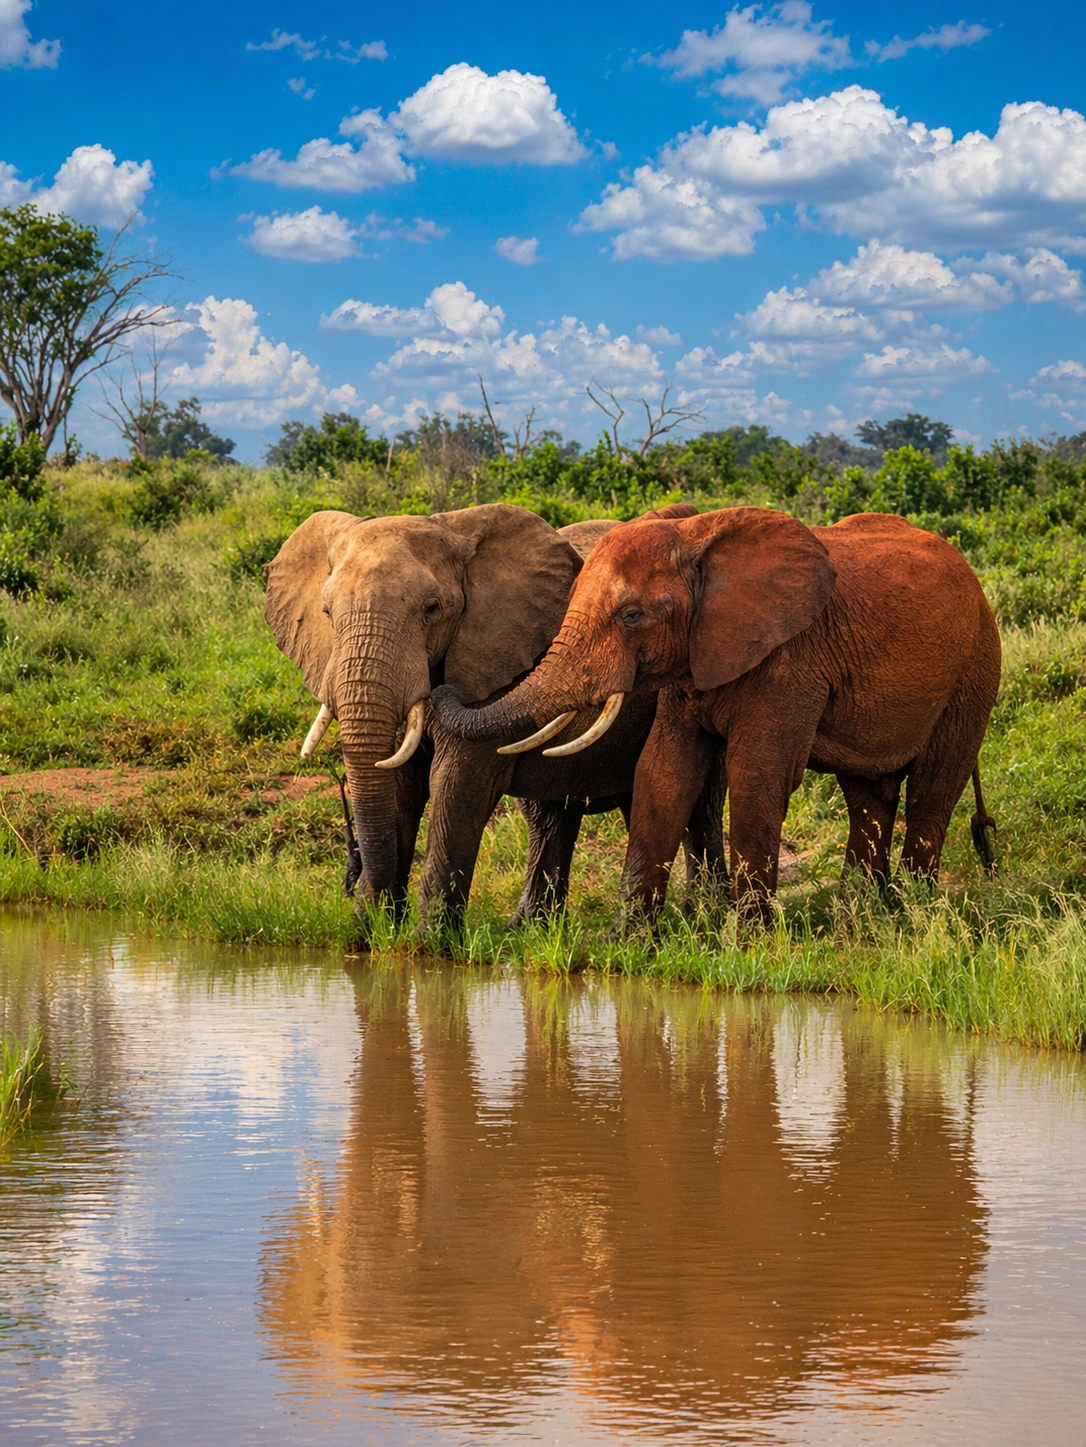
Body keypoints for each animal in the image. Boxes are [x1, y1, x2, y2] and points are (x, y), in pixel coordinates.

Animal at [263, 501, 725, 940]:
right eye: (327, 612)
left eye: (432, 609)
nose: (351, 880)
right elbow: (397, 784)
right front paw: (366, 938)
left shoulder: (495, 664)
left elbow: (455, 786)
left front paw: (427, 944)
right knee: (550, 815)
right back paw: (530, 930)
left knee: (693, 803)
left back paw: (701, 924)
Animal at [431, 507, 1002, 922]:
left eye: (632, 615)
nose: (441, 689)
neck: (696, 536)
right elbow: (663, 771)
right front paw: (630, 943)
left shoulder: (791, 657)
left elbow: (758, 774)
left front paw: (749, 940)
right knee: (869, 793)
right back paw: (864, 911)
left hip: (974, 671)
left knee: (932, 790)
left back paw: (914, 913)